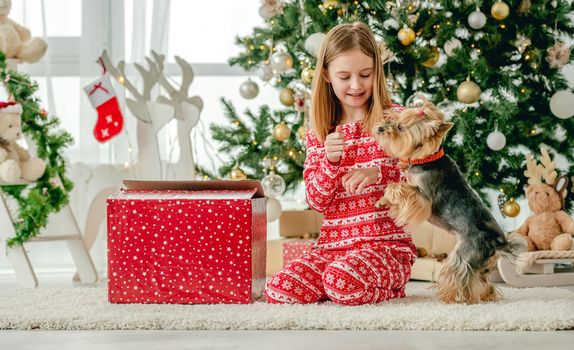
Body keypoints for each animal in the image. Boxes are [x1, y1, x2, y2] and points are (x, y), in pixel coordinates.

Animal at [376, 98, 524, 304]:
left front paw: (389, 199)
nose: (381, 128)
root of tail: (498, 242)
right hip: (482, 264)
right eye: (392, 118)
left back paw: (451, 297)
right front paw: (383, 201)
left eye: (400, 127)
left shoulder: (422, 197)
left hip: (466, 253)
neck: (426, 159)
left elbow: (398, 187)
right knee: (482, 282)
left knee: (459, 275)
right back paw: (485, 296)